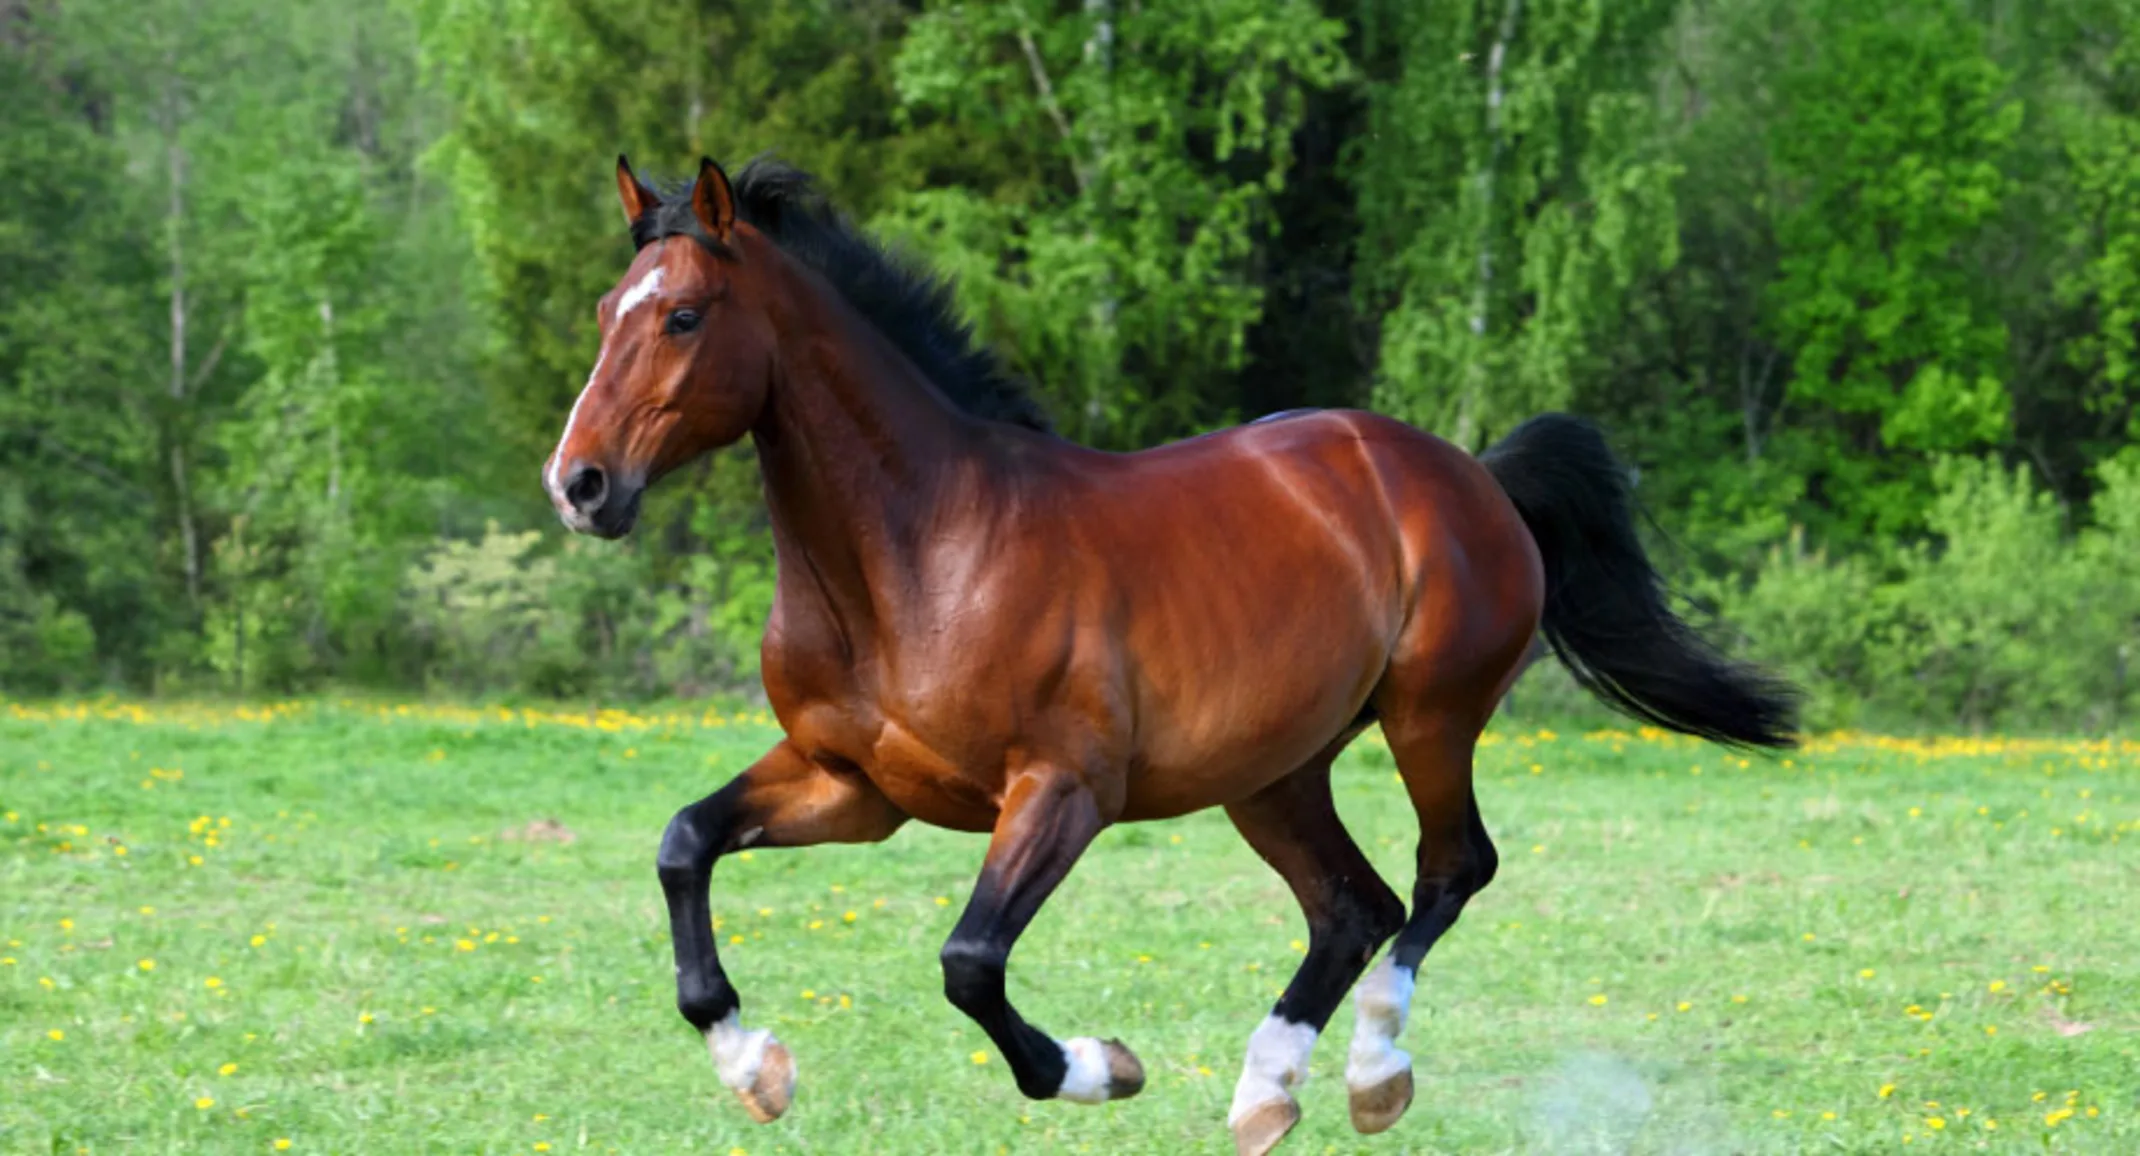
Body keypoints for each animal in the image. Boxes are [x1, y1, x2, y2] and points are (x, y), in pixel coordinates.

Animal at [542, 154, 1797, 1155]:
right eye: (606, 308)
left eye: (684, 315)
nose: (580, 485)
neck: (920, 553)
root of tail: (1469, 473)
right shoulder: (855, 787)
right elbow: (683, 844)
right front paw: (755, 1067)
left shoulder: (1061, 790)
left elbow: (969, 960)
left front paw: (1103, 1067)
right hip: (1271, 772)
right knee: (1352, 902)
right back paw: (1265, 1095)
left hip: (1428, 718)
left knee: (1448, 871)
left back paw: (1371, 1078)